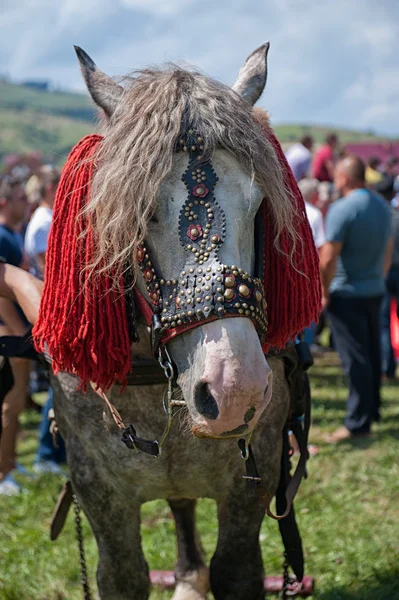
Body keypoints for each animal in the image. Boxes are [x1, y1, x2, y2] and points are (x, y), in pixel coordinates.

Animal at [47, 43, 314, 600]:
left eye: (258, 205)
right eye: (139, 208)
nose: (234, 391)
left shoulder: (251, 482)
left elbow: (235, 569)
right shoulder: (101, 496)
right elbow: (123, 575)